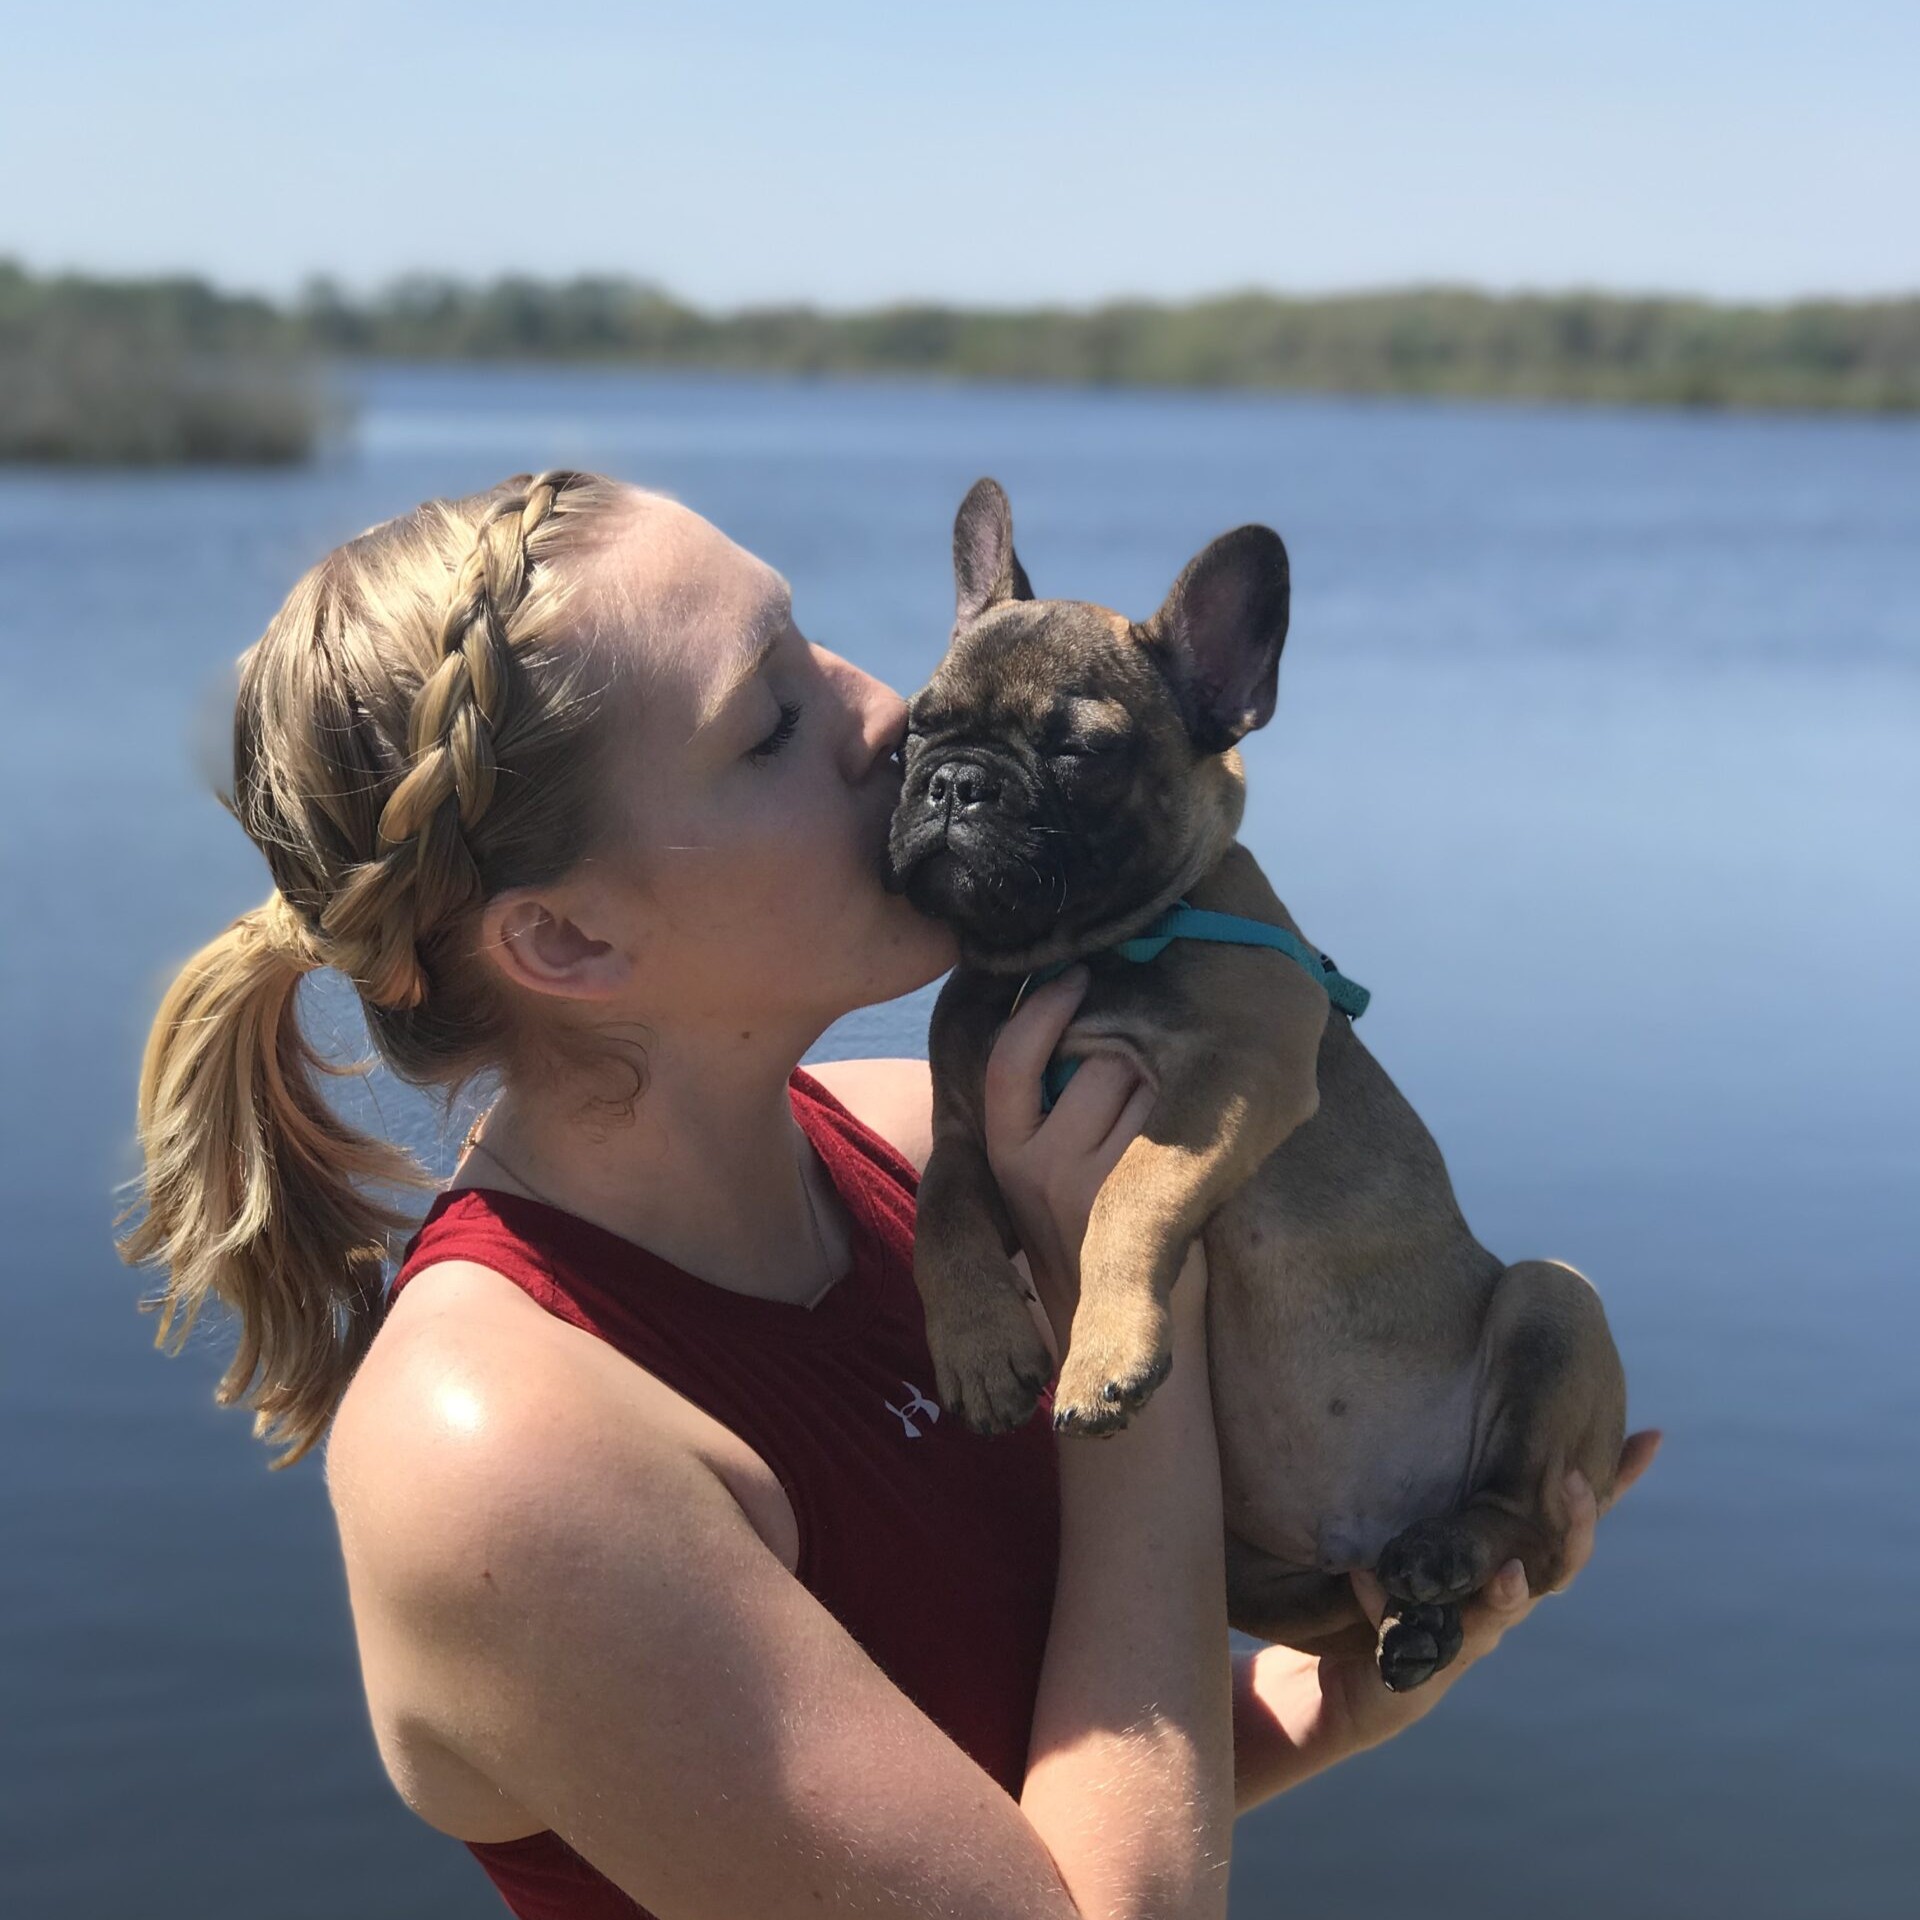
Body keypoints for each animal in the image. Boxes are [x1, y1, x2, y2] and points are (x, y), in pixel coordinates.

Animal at [879, 476, 1620, 1681]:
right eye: (915, 729)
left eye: (1078, 753)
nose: (954, 781)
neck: (1071, 956)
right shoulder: (963, 1129)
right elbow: (940, 1215)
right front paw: (981, 1346)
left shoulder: (1238, 1076)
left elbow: (1129, 1191)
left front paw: (1103, 1356)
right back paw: (1416, 1617)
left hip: (1554, 1301)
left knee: (1532, 1522)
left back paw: (1446, 1552)